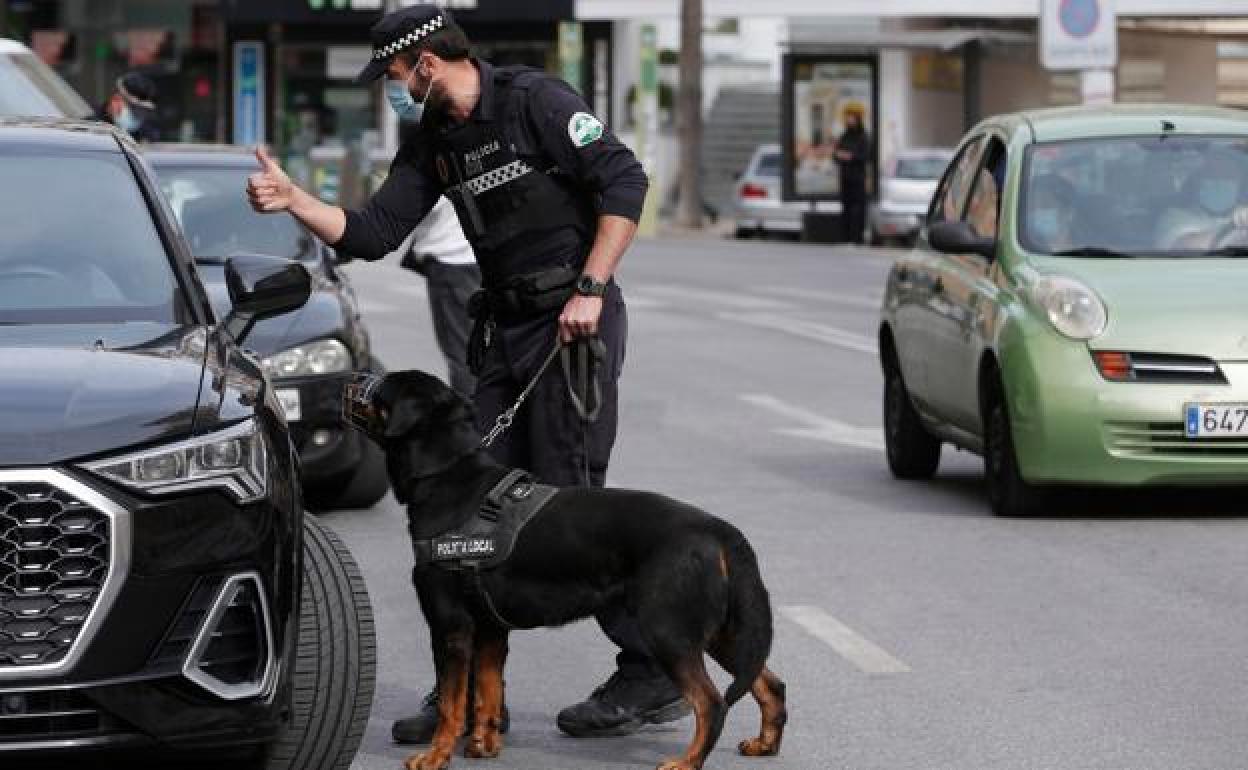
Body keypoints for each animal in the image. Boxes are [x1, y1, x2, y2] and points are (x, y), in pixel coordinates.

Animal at [346, 371, 783, 768]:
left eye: (380, 384)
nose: (349, 379)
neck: (447, 477)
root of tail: (719, 529)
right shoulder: (490, 629)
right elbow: (487, 692)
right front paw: (483, 746)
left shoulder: (450, 625)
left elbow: (452, 704)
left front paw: (436, 756)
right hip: (719, 630)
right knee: (768, 682)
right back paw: (765, 744)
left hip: (668, 629)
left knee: (711, 702)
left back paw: (687, 762)